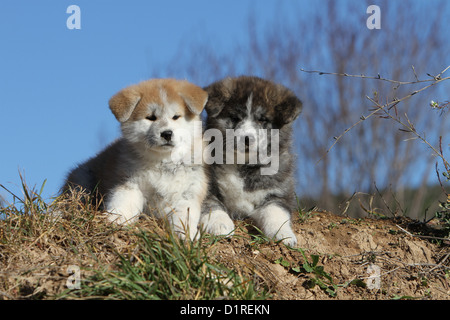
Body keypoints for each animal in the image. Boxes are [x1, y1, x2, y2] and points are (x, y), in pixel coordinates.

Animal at [201, 76, 302, 246]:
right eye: (235, 118)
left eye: (262, 120)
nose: (247, 139)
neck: (242, 164)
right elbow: (211, 206)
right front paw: (220, 225)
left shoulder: (277, 192)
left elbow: (276, 210)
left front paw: (284, 234)